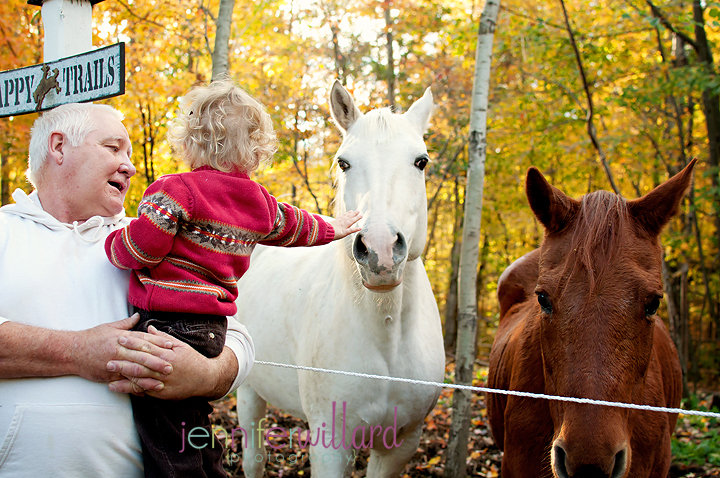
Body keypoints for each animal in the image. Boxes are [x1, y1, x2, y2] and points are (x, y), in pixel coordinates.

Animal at [235, 82, 444, 478]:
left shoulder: (402, 443)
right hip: (249, 392)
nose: (379, 250)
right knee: (253, 457)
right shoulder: (331, 443)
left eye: (421, 161)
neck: (386, 342)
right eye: (344, 162)